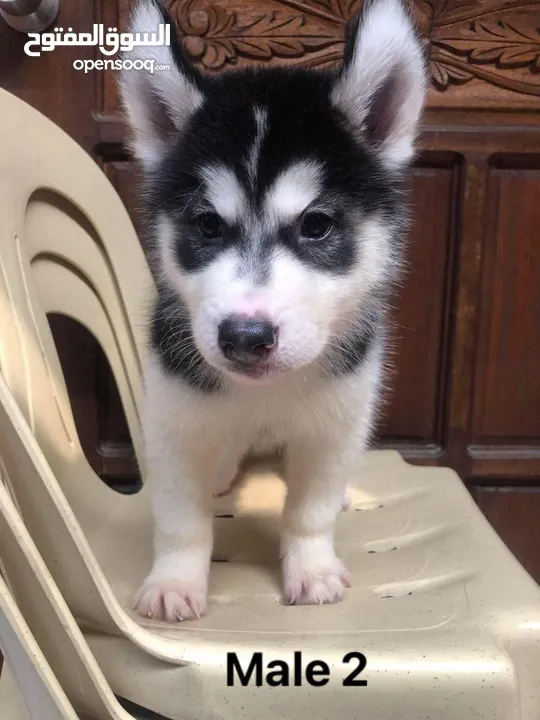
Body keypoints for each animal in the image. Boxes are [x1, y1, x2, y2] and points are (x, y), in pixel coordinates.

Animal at [119, 0, 426, 620]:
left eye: (317, 225)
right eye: (207, 225)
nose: (244, 336)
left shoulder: (336, 423)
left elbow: (309, 511)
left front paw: (312, 568)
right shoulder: (173, 419)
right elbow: (180, 520)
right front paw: (174, 580)